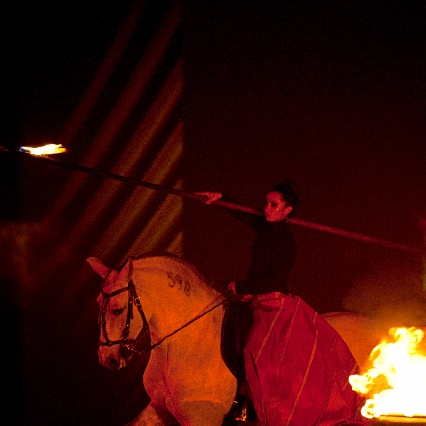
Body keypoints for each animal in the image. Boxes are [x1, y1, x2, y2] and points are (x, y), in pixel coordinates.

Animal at [88, 253, 382, 426]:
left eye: (117, 309)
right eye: (98, 304)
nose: (107, 359)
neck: (183, 346)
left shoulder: (202, 419)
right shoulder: (160, 410)